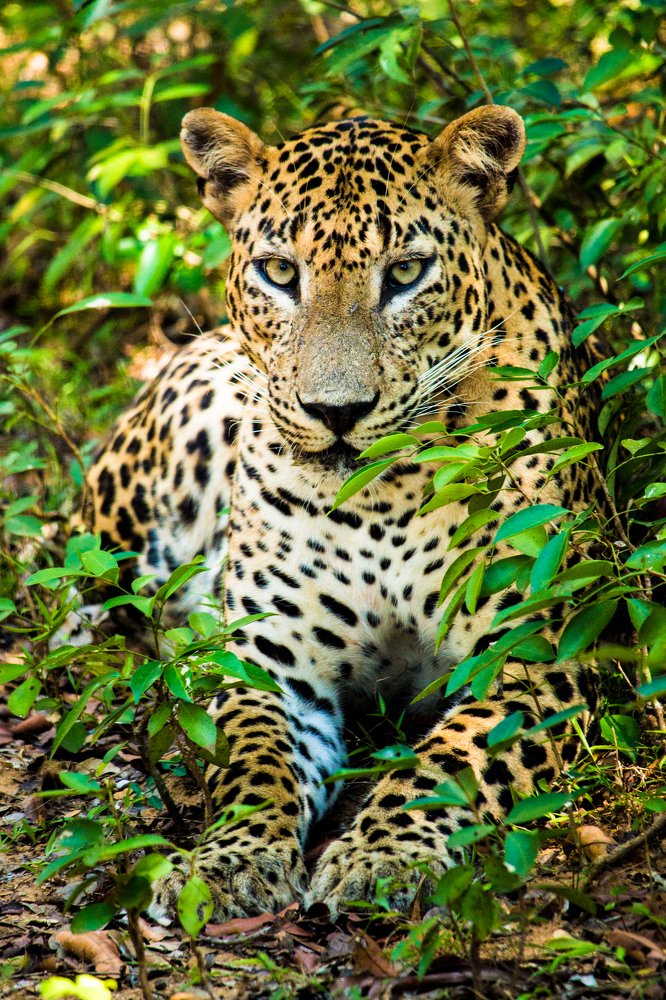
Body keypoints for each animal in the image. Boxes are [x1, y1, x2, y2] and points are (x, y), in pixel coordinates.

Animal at [85, 105, 604, 922]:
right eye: (279, 273)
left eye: (406, 273)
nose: (336, 412)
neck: (378, 504)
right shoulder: (273, 666)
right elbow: (251, 765)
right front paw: (226, 862)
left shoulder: (531, 655)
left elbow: (448, 761)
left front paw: (381, 856)